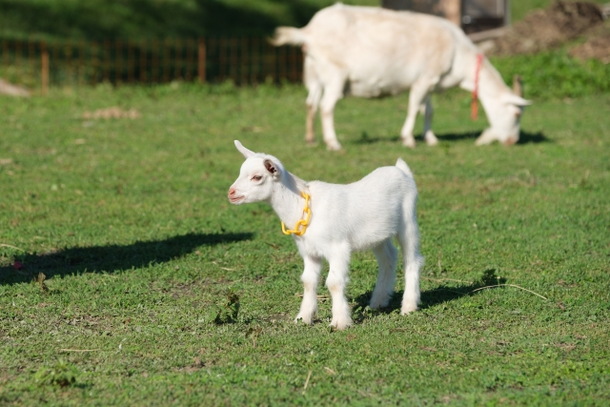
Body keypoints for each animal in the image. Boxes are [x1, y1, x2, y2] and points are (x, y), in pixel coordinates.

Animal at [226, 142, 420, 330]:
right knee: (388, 257)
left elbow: (334, 282)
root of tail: (401, 170)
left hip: (408, 219)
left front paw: (340, 322)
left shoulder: (338, 248)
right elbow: (308, 281)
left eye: (257, 177)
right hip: (378, 235)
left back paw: (409, 306)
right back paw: (379, 301)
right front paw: (303, 318)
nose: (231, 193)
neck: (302, 205)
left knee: (412, 260)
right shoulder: (308, 251)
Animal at [268, 3, 528, 150]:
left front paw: (431, 139)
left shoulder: (430, 81)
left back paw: (311, 139)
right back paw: (333, 143)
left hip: (314, 74)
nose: (512, 142)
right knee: (326, 106)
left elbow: (428, 110)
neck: (458, 53)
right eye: (516, 114)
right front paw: (408, 139)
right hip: (335, 74)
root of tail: (308, 32)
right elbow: (413, 108)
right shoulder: (424, 79)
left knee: (311, 103)